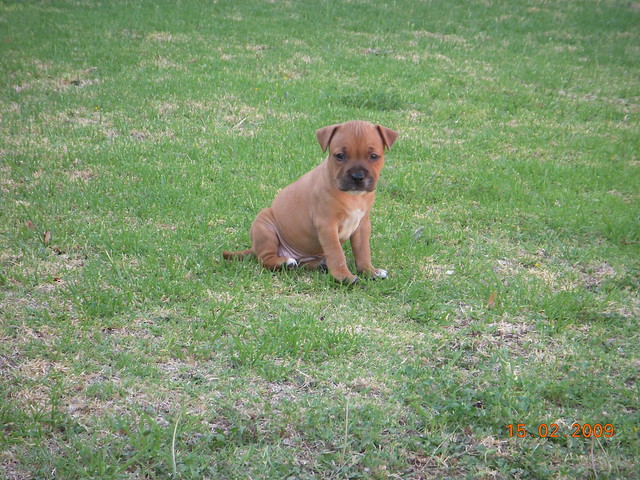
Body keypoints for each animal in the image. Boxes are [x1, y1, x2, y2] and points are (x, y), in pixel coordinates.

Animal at [222, 120, 398, 284]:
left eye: (374, 156)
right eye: (340, 156)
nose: (357, 177)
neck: (353, 197)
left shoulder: (362, 225)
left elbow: (363, 251)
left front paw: (369, 271)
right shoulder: (327, 225)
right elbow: (337, 253)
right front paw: (343, 276)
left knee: (302, 263)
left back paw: (319, 263)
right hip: (265, 228)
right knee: (265, 259)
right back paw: (285, 262)